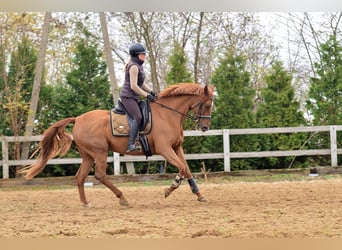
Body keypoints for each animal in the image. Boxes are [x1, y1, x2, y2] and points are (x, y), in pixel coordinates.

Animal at [24, 83, 214, 206]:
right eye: (207, 105)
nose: (205, 127)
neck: (168, 114)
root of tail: (78, 118)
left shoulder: (176, 147)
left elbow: (186, 168)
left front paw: (199, 195)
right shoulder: (165, 149)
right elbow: (181, 167)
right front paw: (169, 189)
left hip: (88, 155)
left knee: (80, 177)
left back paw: (86, 203)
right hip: (100, 152)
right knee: (100, 176)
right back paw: (122, 198)